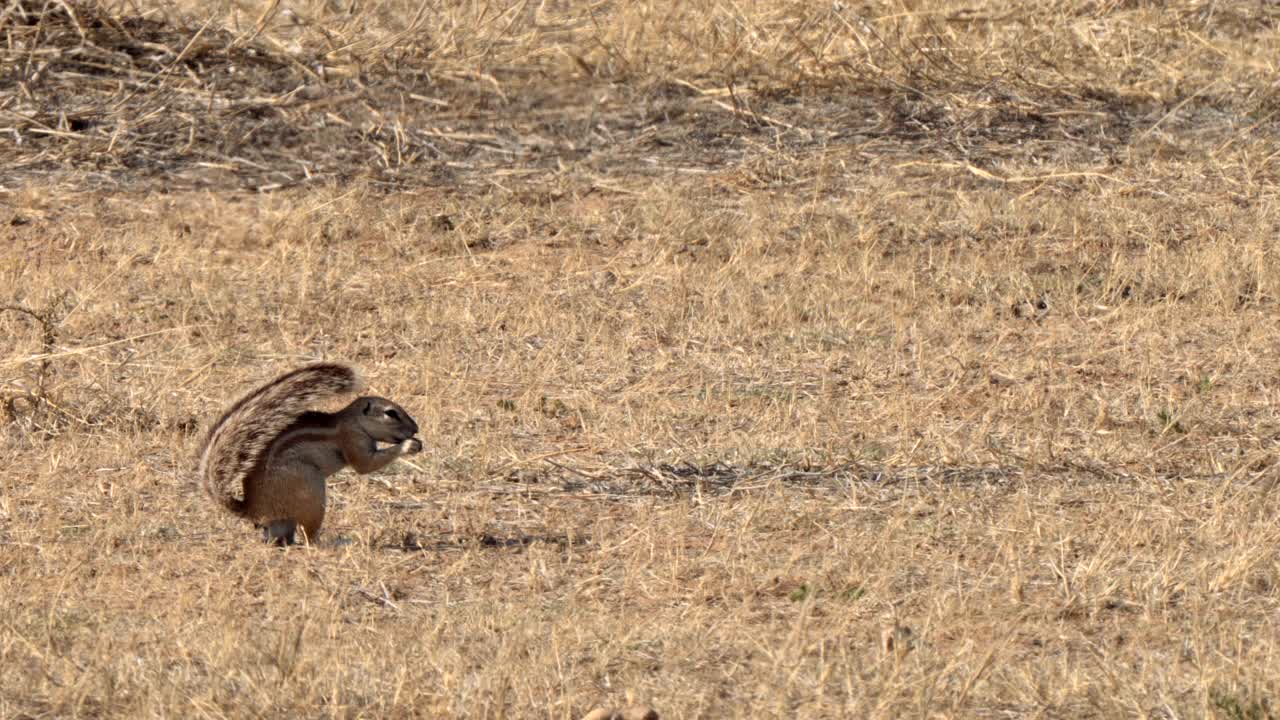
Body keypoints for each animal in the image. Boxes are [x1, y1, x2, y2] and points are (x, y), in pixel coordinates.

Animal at [197, 361, 422, 540]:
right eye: (391, 413)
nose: (415, 429)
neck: (352, 421)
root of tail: (252, 508)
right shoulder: (352, 440)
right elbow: (365, 466)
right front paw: (409, 445)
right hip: (311, 489)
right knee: (309, 537)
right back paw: (333, 543)